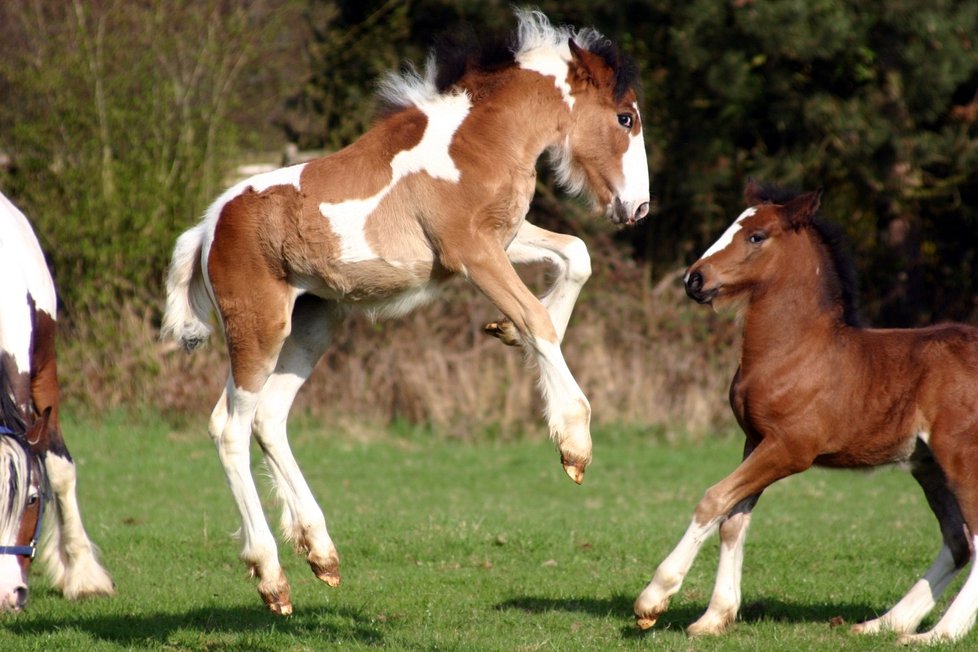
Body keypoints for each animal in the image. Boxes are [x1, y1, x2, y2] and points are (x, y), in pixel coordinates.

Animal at [162, 7, 648, 612]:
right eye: (626, 118)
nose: (638, 207)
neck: (475, 143)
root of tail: (207, 229)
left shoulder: (502, 239)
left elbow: (574, 256)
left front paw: (505, 331)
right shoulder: (473, 252)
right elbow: (538, 319)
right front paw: (573, 442)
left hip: (313, 323)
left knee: (269, 419)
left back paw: (321, 553)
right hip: (259, 328)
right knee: (229, 428)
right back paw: (273, 578)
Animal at [628, 181, 976, 644]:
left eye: (756, 236)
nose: (694, 279)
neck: (796, 350)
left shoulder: (791, 449)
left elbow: (713, 500)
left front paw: (655, 597)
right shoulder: (755, 441)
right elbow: (733, 520)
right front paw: (715, 616)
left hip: (960, 458)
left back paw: (938, 634)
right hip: (928, 465)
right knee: (958, 542)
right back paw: (885, 623)